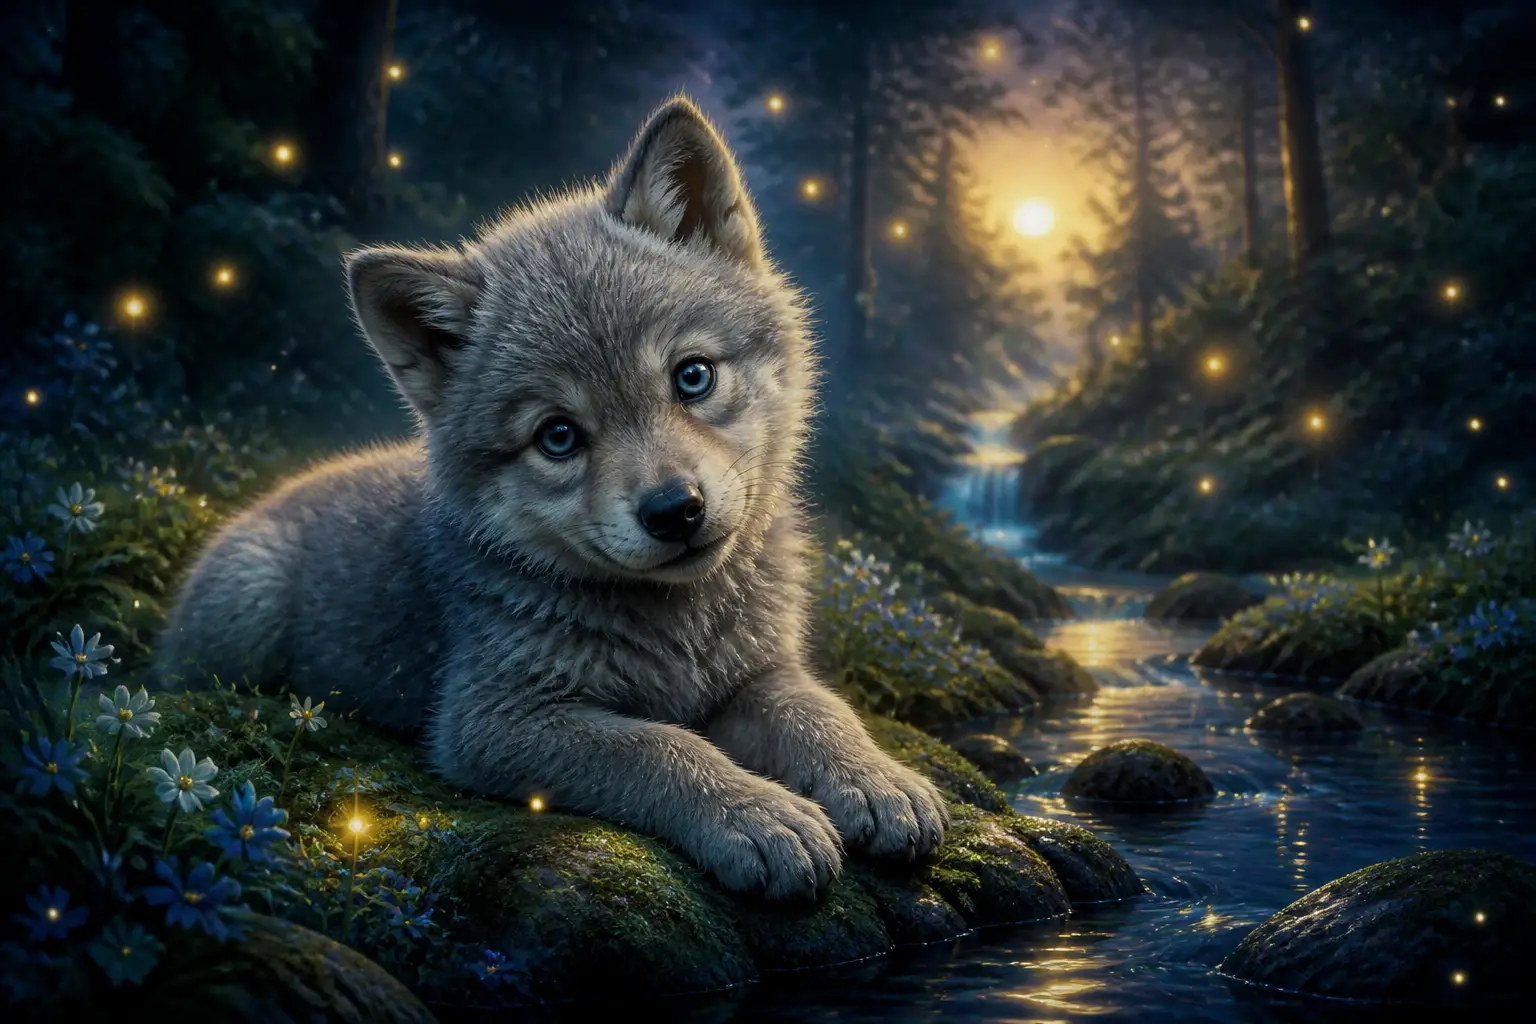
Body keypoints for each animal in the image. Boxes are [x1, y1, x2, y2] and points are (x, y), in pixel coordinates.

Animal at [155, 96, 949, 900]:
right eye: (558, 437)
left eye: (692, 376)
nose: (675, 510)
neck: (679, 632)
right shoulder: (492, 721)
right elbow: (659, 748)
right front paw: (756, 814)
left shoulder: (756, 672)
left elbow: (818, 710)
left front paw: (874, 779)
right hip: (245, 612)